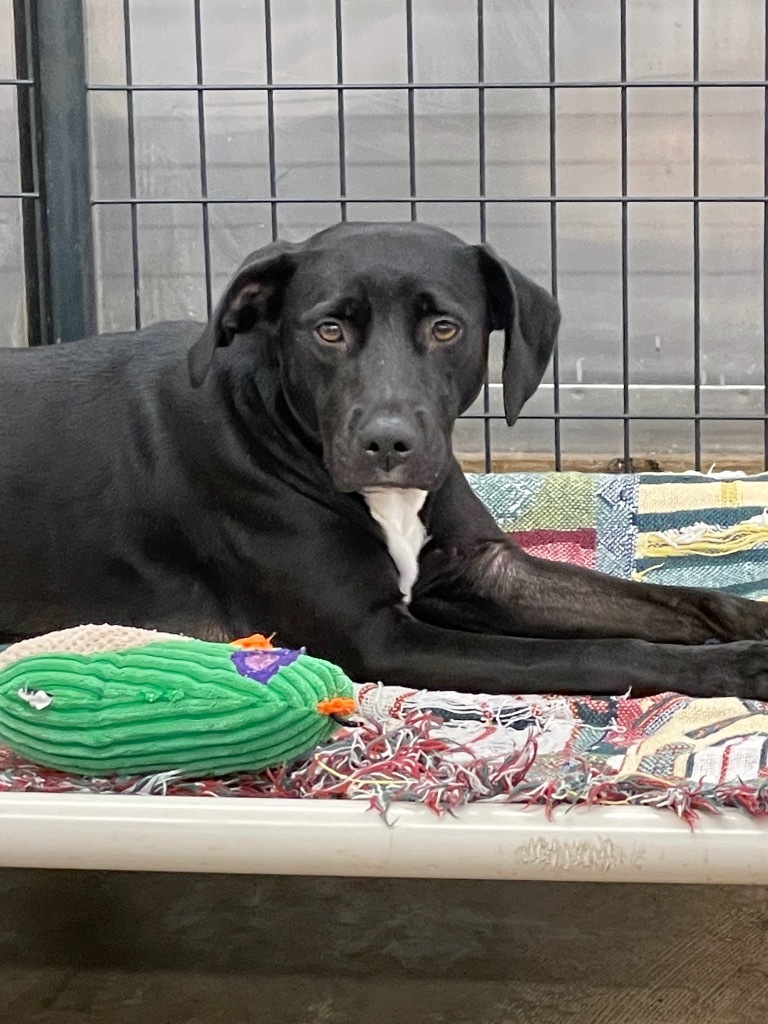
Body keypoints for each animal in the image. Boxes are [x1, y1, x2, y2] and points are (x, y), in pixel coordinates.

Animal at [4, 221, 768, 700]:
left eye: (446, 327)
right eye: (329, 330)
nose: (388, 444)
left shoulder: (488, 570)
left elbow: (692, 600)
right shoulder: (378, 639)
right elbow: (600, 650)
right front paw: (739, 669)